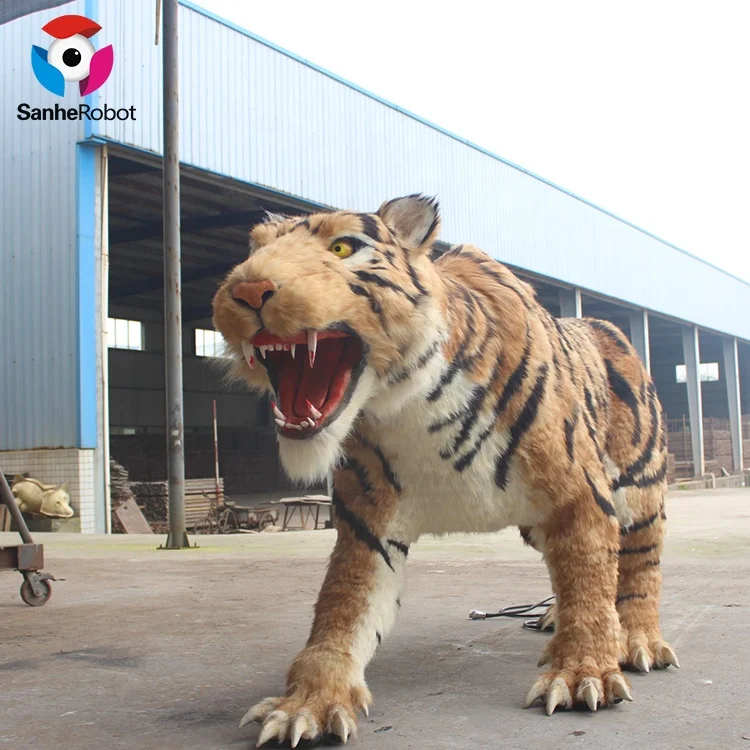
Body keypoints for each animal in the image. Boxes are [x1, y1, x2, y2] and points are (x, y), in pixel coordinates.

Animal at [211, 194, 679, 747]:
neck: (410, 405)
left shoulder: (579, 495)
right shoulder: (368, 527)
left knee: (638, 565)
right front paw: (307, 703)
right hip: (537, 526)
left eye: (344, 246)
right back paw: (552, 620)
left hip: (639, 488)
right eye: (254, 250)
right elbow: (343, 609)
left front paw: (583, 673)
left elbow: (590, 578)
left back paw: (637, 639)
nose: (247, 289)